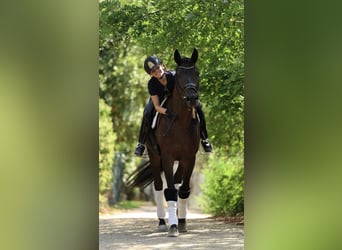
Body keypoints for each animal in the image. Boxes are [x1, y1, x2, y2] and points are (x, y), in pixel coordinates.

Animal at [127, 48, 200, 236]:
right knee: (159, 187)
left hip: (181, 161)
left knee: (177, 181)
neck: (180, 122)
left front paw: (181, 222)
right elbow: (171, 190)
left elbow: (183, 190)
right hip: (154, 156)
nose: (192, 98)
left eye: (197, 73)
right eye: (179, 74)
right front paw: (173, 226)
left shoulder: (189, 158)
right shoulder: (167, 157)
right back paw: (161, 221)